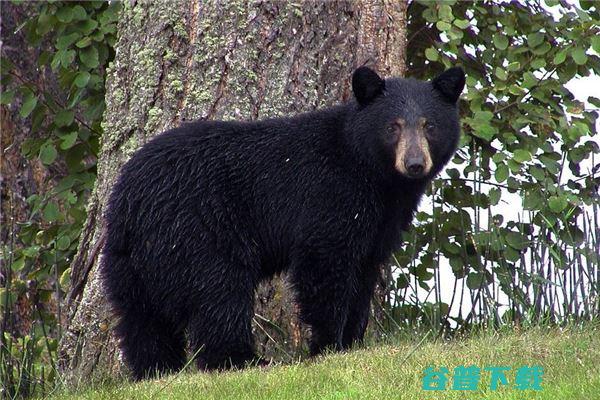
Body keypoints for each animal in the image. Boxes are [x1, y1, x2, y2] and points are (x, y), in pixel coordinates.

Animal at [101, 65, 466, 378]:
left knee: (141, 318)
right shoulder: (330, 196)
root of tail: (130, 199)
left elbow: (364, 273)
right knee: (218, 293)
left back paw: (157, 370)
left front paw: (353, 342)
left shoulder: (381, 222)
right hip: (197, 230)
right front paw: (328, 346)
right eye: (393, 126)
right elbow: (325, 265)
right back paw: (244, 360)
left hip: (128, 259)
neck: (373, 174)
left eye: (429, 125)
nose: (415, 163)